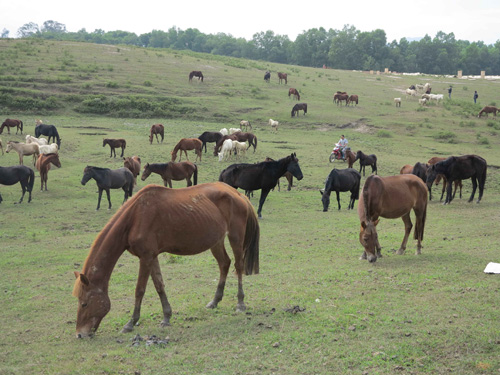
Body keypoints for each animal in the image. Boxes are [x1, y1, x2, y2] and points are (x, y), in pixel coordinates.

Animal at [73, 184, 262, 340]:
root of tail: (237, 193)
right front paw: (166, 317)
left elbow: (139, 290)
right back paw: (215, 301)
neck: (135, 216)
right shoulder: (151, 256)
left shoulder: (146, 257)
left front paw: (130, 323)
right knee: (224, 264)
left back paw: (240, 303)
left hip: (235, 237)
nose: (80, 334)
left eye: (84, 303)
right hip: (216, 241)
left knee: (238, 266)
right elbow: (159, 285)